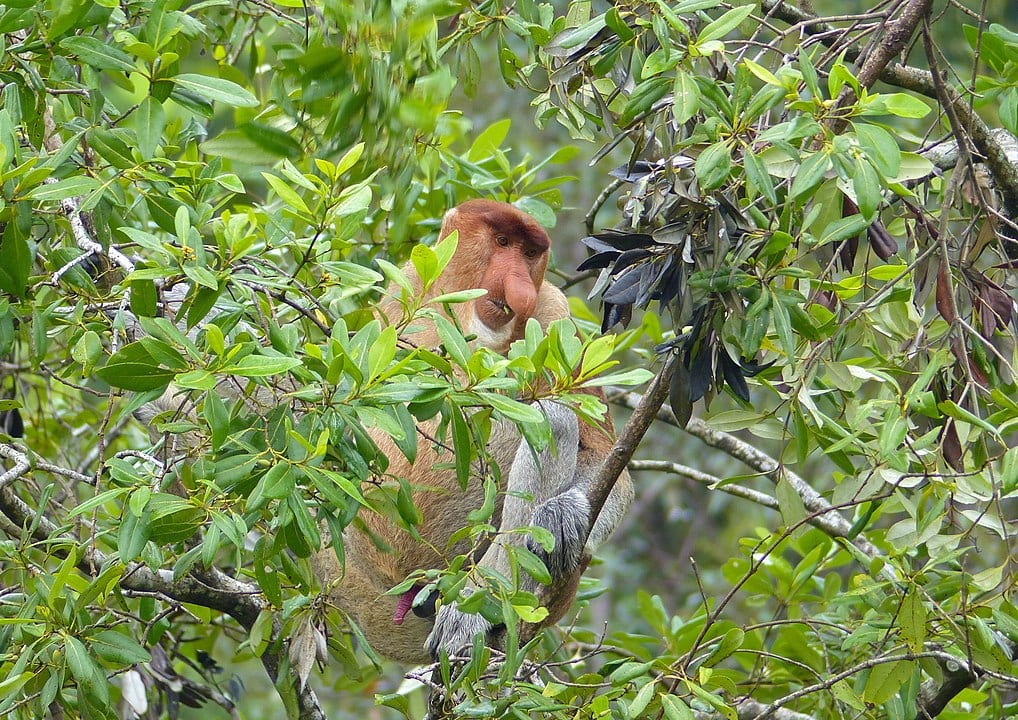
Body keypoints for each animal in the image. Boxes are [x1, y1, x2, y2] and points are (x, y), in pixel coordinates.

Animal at [312, 199, 633, 663]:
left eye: (529, 253)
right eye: (501, 242)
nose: (520, 286)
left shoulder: (555, 315)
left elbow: (604, 455)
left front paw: (561, 515)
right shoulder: (404, 289)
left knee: (551, 419)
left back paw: (475, 612)